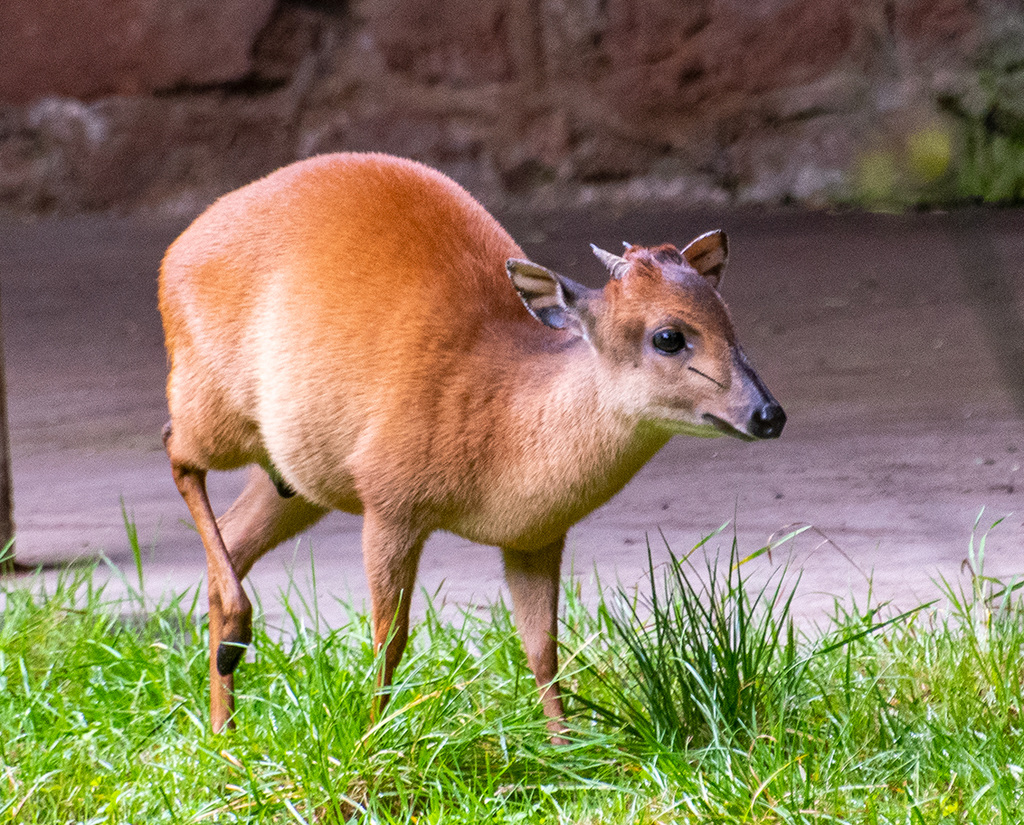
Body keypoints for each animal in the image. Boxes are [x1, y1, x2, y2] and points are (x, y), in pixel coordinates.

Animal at [157, 153, 782, 736]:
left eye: (729, 321)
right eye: (669, 337)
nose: (769, 415)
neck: (502, 424)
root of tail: (174, 254)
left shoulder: (536, 536)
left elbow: (543, 647)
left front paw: (566, 750)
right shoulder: (389, 500)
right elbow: (389, 638)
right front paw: (371, 744)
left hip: (297, 475)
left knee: (233, 542)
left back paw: (224, 733)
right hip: (213, 403)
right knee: (177, 451)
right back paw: (235, 647)